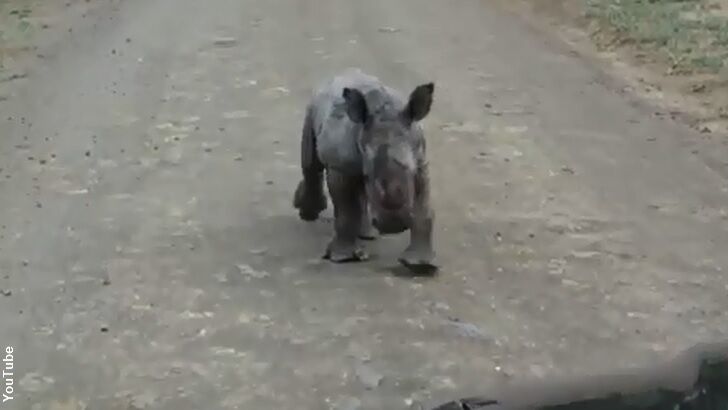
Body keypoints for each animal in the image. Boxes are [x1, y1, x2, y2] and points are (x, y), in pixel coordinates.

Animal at [292, 69, 436, 270]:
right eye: (367, 176)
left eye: (411, 171)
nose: (394, 226)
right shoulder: (340, 168)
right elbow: (346, 212)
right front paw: (343, 257)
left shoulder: (421, 164)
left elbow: (424, 212)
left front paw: (420, 264)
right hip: (312, 110)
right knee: (312, 163)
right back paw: (308, 213)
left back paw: (367, 234)